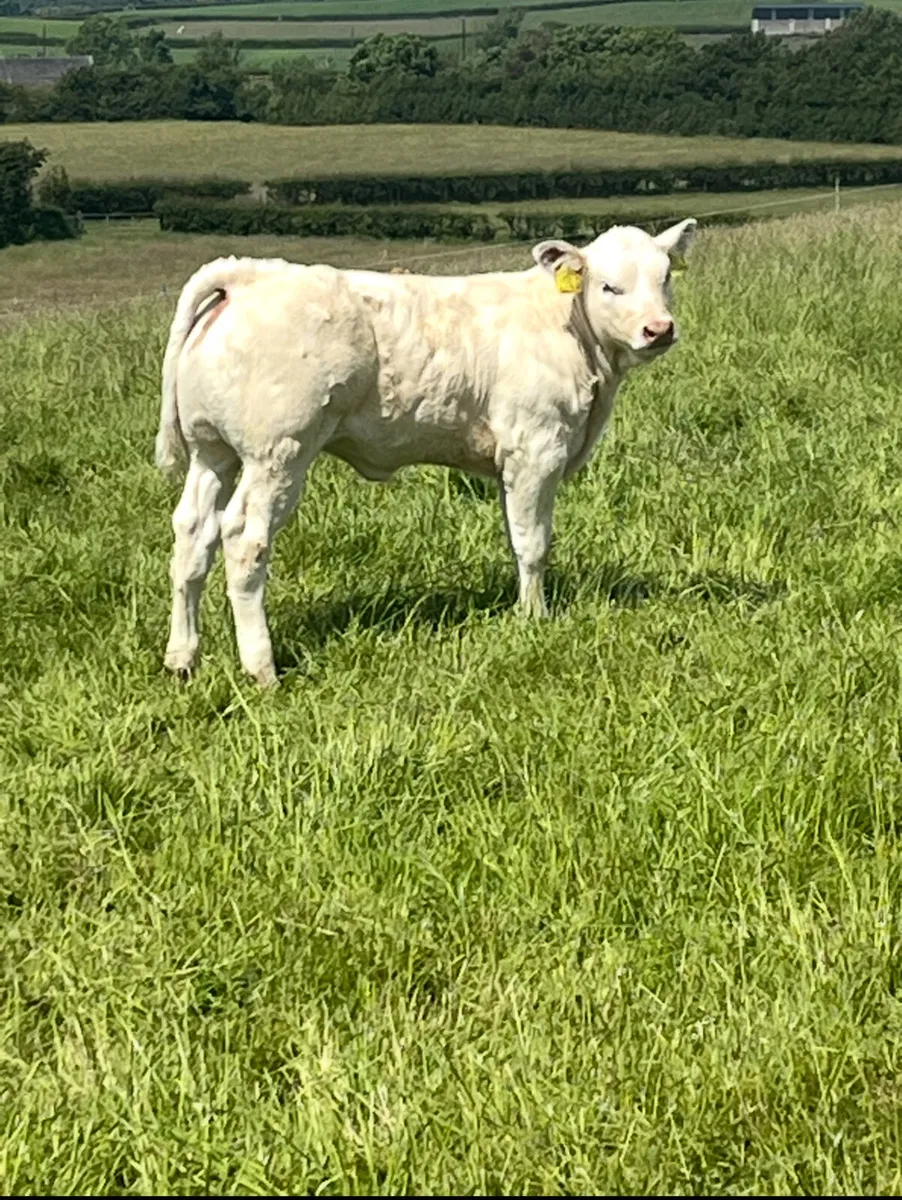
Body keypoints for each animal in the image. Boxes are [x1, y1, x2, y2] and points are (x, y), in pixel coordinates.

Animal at [155, 219, 697, 686]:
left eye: (665, 277)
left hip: (213, 451)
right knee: (243, 539)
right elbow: (533, 544)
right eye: (609, 287)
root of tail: (249, 274)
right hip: (278, 453)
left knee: (192, 533)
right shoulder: (535, 449)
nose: (659, 329)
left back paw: (182, 657)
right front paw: (534, 618)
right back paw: (261, 668)